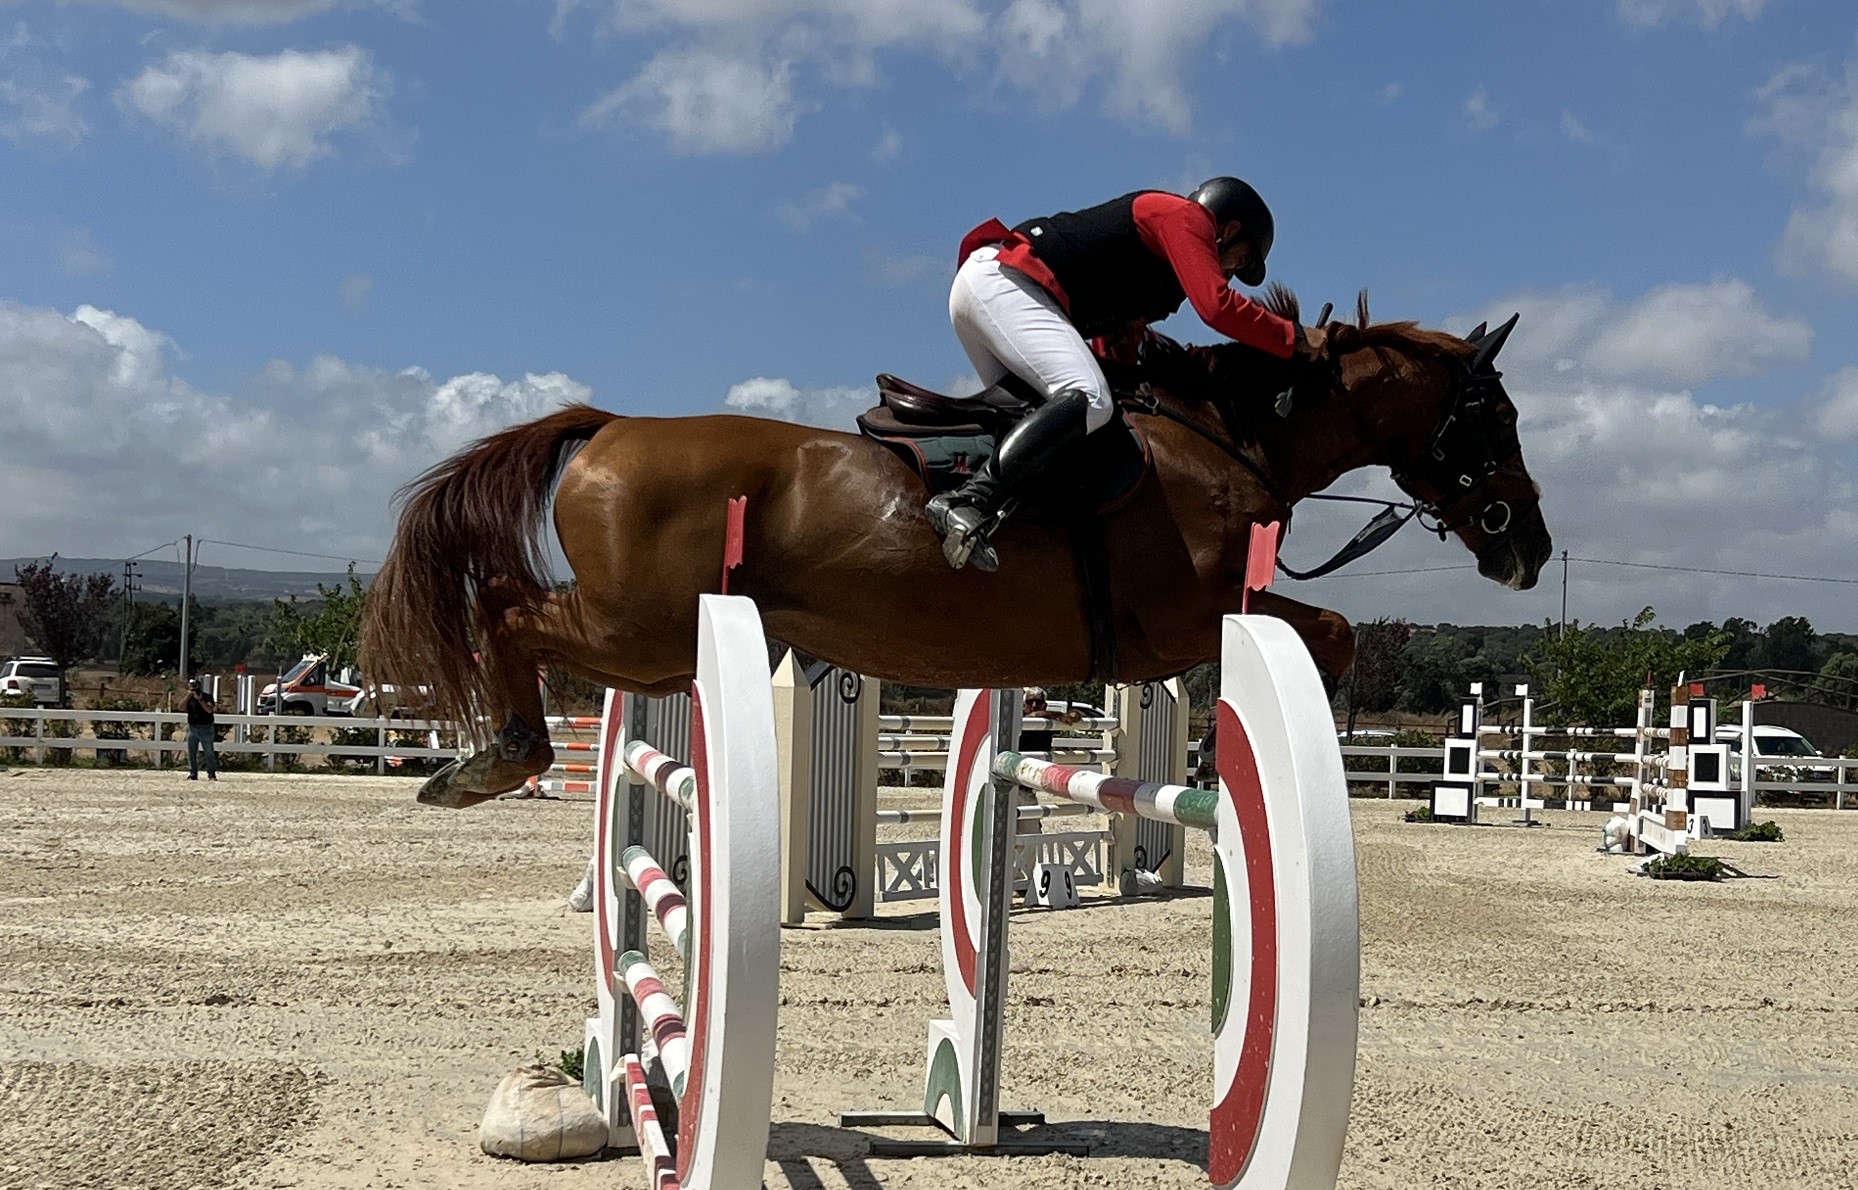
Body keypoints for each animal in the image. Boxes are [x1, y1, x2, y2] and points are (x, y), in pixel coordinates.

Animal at [361, 291, 1552, 807]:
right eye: (1493, 418)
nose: (1529, 546)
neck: (1223, 434)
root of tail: (609, 427)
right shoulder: (1189, 612)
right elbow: (1334, 633)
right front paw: (1225, 758)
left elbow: (1326, 633)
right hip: (638, 628)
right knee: (504, 607)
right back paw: (497, 757)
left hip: (649, 649)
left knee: (512, 608)